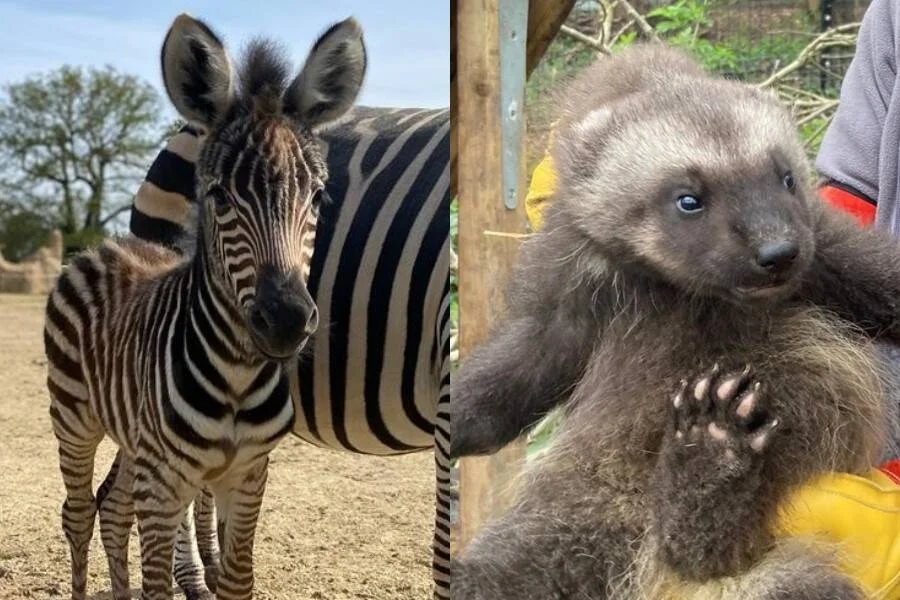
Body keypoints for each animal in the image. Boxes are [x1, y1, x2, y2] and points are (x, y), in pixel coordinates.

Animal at [44, 15, 365, 600]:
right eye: (218, 196)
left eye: (318, 198)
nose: (285, 321)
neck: (237, 376)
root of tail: (106, 244)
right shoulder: (164, 481)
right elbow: (158, 581)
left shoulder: (250, 474)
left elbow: (237, 579)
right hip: (73, 418)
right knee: (78, 513)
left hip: (133, 440)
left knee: (113, 510)